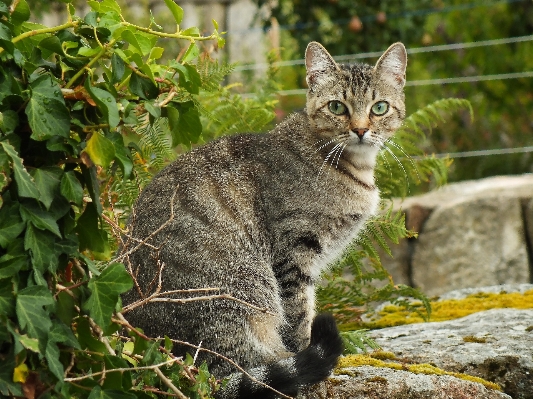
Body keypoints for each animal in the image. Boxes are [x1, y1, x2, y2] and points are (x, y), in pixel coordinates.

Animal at [121, 41, 408, 399]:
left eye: (379, 107)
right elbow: (299, 315)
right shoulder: (293, 250)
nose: (360, 129)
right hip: (244, 290)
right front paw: (306, 354)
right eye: (337, 107)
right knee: (236, 366)